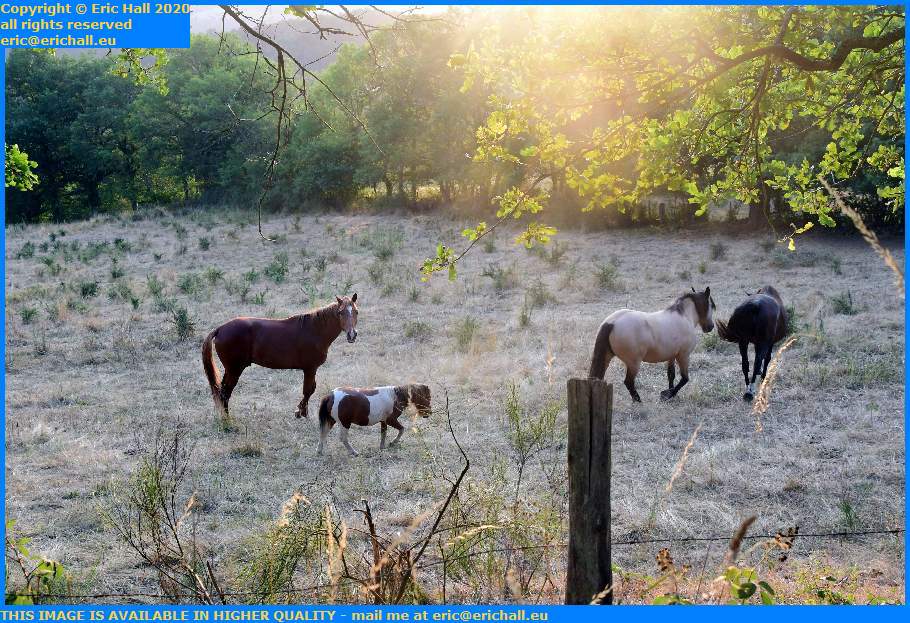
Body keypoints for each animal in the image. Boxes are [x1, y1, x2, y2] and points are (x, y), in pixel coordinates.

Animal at [202, 294, 359, 420]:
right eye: (340, 312)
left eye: (356, 311)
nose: (352, 335)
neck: (315, 330)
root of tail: (220, 329)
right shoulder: (310, 368)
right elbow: (308, 390)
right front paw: (301, 413)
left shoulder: (310, 369)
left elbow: (310, 389)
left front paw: (301, 412)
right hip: (235, 370)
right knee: (225, 393)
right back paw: (227, 420)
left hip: (230, 370)